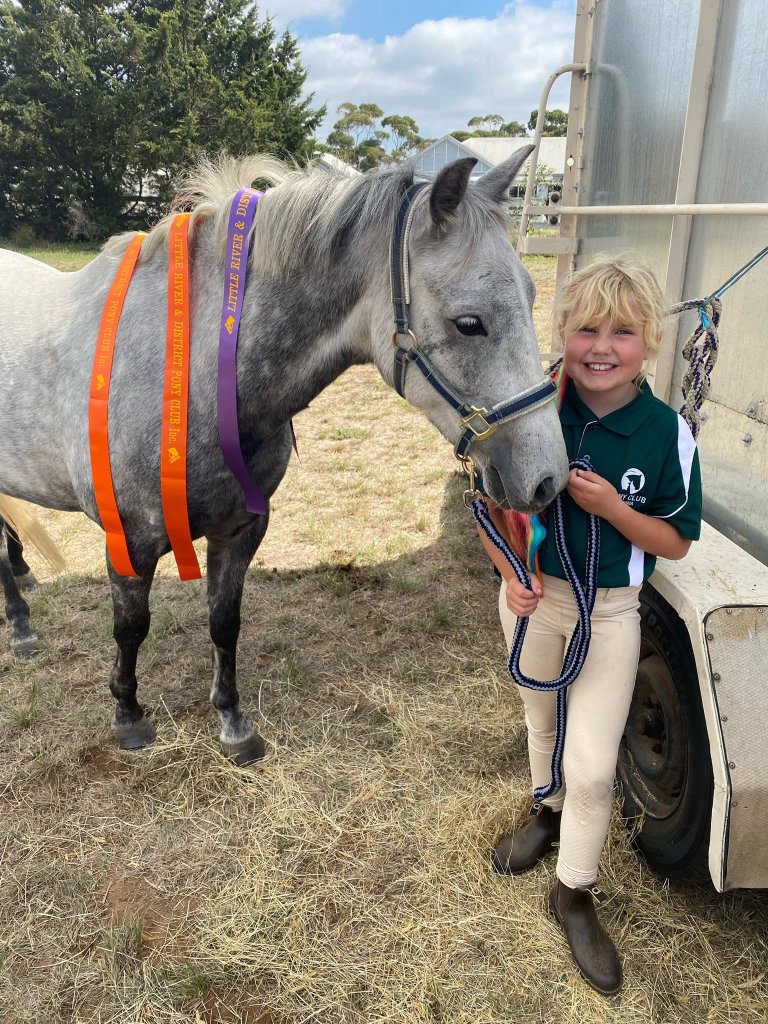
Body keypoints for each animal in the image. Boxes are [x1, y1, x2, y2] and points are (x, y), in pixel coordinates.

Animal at [0, 146, 569, 763]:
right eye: (469, 322)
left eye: (533, 298)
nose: (548, 479)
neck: (196, 368)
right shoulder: (132, 537)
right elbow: (131, 627)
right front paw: (128, 715)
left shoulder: (241, 528)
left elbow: (224, 623)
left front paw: (232, 722)